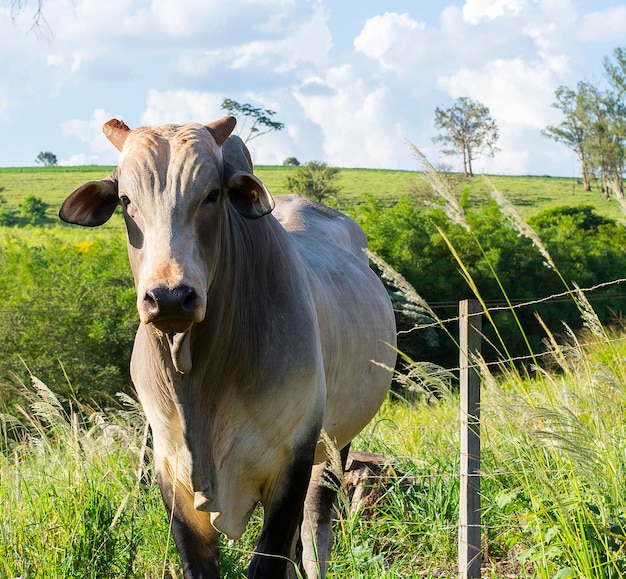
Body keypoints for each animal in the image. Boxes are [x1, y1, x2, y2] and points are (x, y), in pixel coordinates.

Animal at [58, 118, 394, 579]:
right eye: (126, 200)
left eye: (212, 194)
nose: (169, 297)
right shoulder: (171, 472)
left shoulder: (292, 458)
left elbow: (272, 559)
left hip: (333, 444)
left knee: (314, 530)